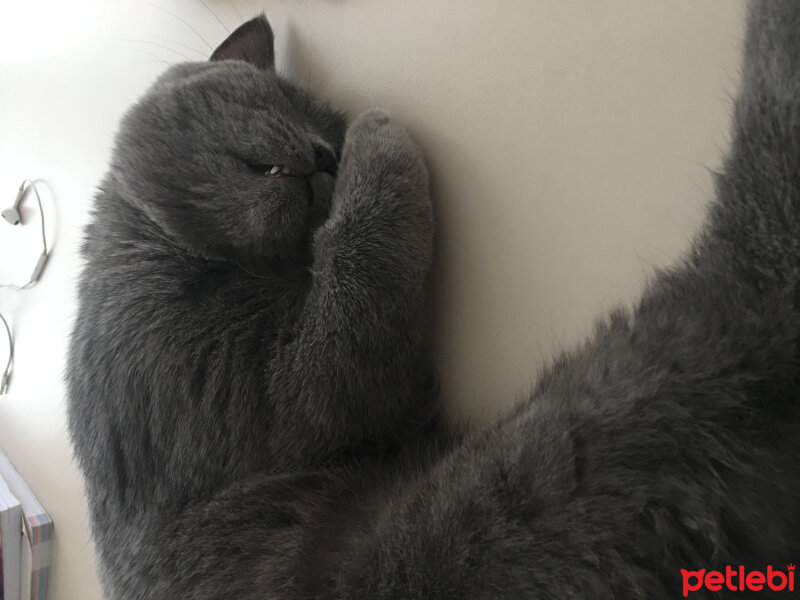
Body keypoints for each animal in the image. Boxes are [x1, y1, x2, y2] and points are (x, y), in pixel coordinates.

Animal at [67, 2, 800, 596]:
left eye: (323, 128)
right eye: (284, 99)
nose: (328, 152)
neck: (181, 254)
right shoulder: (279, 392)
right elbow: (346, 343)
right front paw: (381, 136)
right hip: (538, 483)